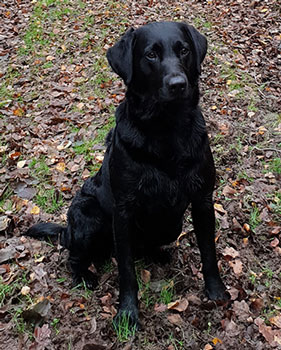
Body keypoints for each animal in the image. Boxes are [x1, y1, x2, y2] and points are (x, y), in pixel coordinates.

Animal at [26, 22, 228, 328]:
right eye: (150, 55)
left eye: (183, 50)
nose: (178, 84)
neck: (166, 130)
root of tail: (66, 231)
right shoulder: (123, 211)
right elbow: (126, 270)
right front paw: (128, 313)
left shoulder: (203, 199)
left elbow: (209, 252)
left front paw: (216, 292)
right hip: (88, 215)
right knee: (74, 256)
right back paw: (84, 275)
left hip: (172, 224)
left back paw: (159, 254)